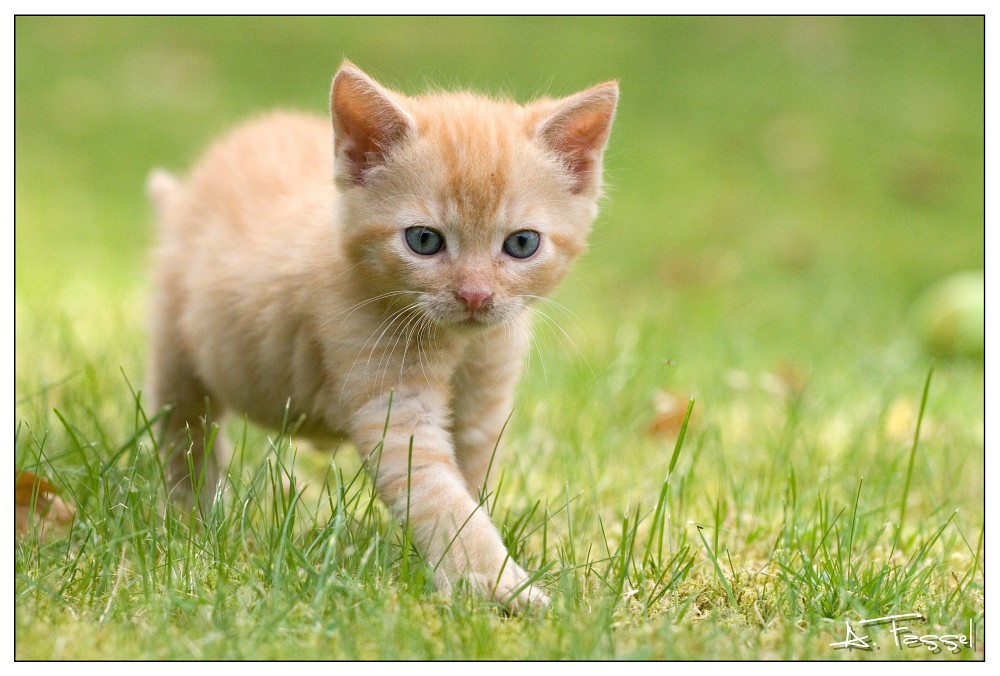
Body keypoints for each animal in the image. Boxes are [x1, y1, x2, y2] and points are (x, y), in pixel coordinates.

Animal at [146, 60, 616, 608]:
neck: (460, 344)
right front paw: (497, 584)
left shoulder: (483, 405)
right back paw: (193, 520)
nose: (475, 295)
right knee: (186, 435)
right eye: (424, 240)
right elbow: (440, 497)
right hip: (175, 356)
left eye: (522, 244)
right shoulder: (393, 403)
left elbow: (469, 483)